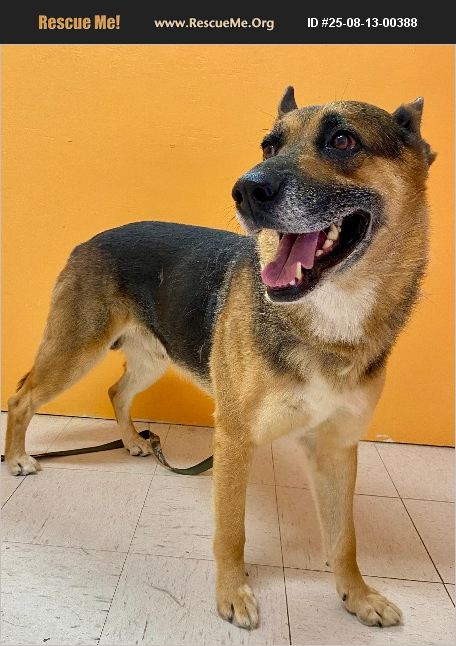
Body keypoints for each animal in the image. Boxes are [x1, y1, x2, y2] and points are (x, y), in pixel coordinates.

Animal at [5, 87, 434, 629]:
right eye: (269, 146)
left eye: (343, 140)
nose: (246, 190)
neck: (328, 321)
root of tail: (91, 239)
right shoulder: (234, 439)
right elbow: (231, 532)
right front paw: (233, 593)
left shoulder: (336, 449)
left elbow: (344, 540)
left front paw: (356, 596)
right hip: (74, 352)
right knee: (22, 396)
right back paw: (17, 458)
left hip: (151, 358)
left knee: (115, 391)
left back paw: (133, 442)